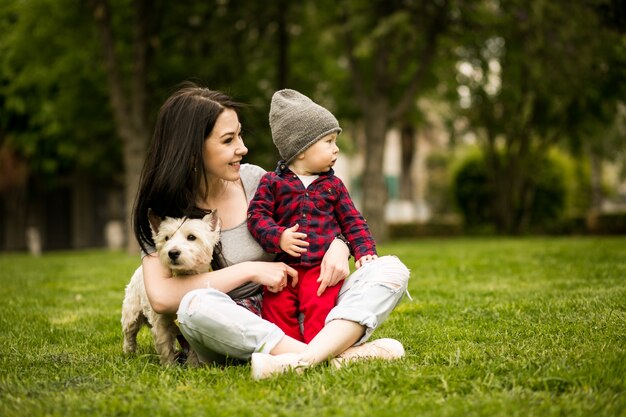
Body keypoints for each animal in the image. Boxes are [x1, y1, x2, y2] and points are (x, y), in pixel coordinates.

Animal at [120, 208, 221, 364]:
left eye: (191, 237)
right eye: (167, 238)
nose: (172, 253)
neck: (182, 277)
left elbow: (192, 351)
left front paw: (192, 366)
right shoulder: (161, 324)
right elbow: (165, 347)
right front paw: (169, 366)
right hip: (132, 312)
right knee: (129, 334)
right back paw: (129, 355)